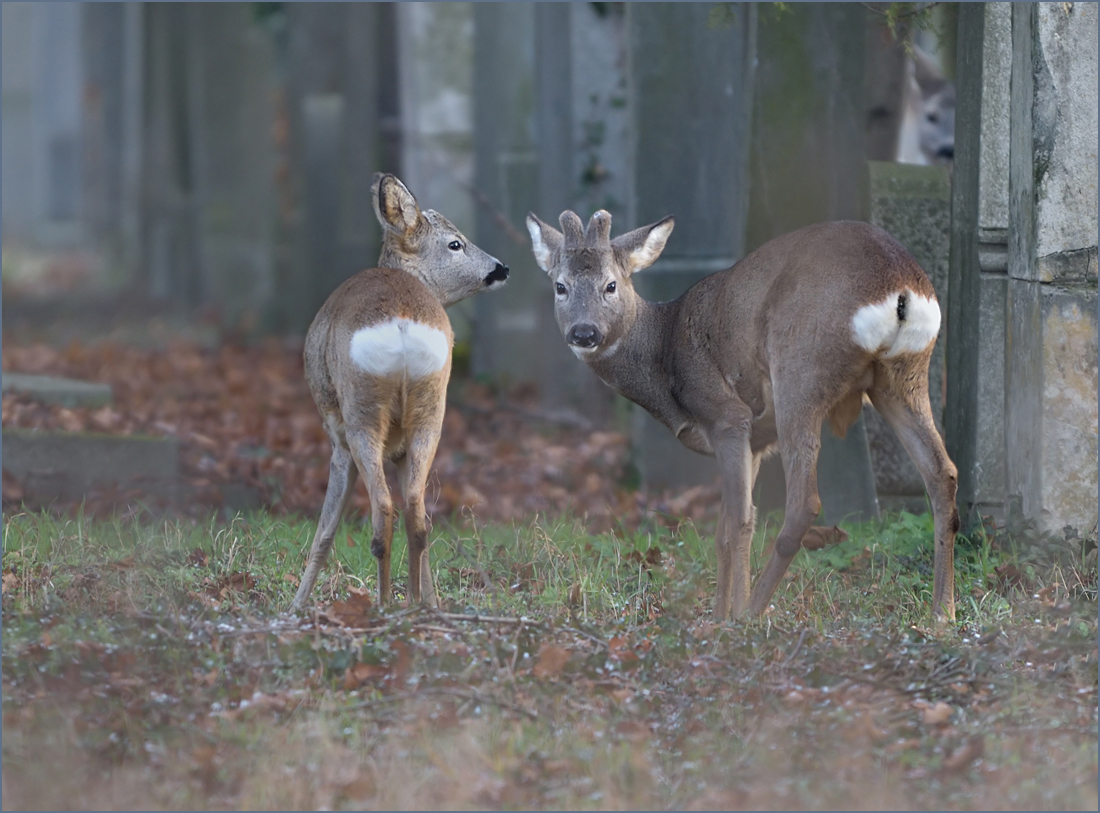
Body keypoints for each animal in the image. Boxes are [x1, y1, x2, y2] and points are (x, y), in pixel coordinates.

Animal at [294, 176, 512, 611]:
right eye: (456, 243)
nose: (502, 268)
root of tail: (402, 322)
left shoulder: (337, 438)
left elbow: (324, 531)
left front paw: (294, 606)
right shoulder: (397, 450)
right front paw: (429, 598)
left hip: (361, 414)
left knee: (383, 510)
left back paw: (383, 604)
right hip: (430, 409)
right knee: (417, 512)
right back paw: (416, 604)